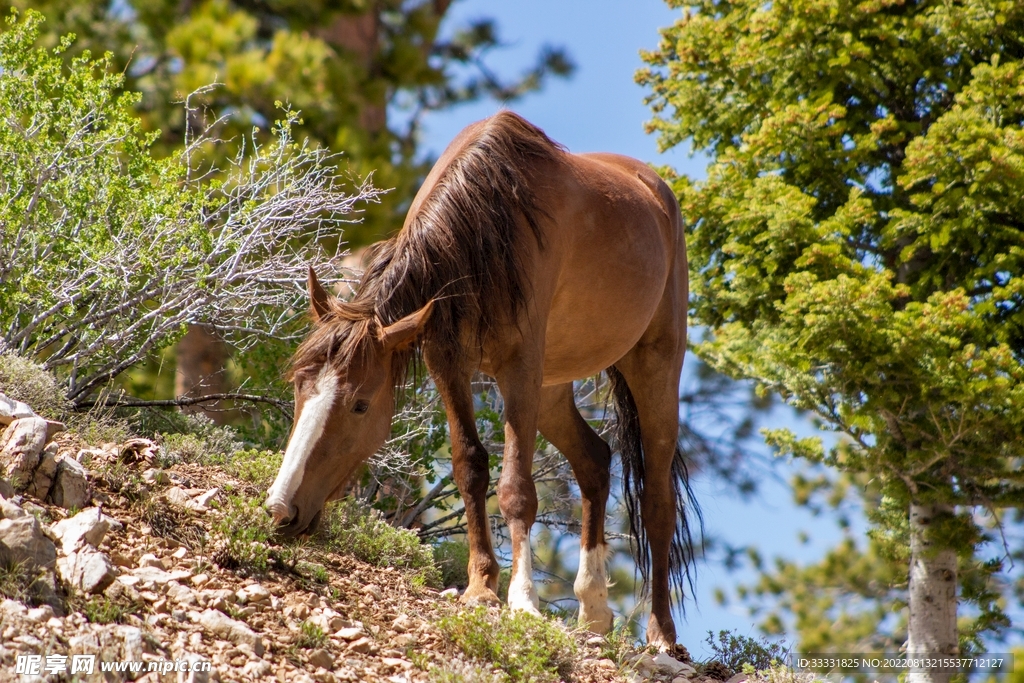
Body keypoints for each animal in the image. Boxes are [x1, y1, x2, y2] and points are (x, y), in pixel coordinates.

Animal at [264, 110, 698, 648]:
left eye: (360, 404)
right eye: (298, 388)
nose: (281, 510)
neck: (484, 228)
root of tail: (657, 192)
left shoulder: (520, 369)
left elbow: (516, 489)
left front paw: (523, 600)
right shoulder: (448, 362)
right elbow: (470, 468)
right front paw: (481, 586)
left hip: (653, 367)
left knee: (658, 502)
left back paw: (660, 634)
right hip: (554, 387)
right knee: (595, 461)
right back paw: (593, 608)